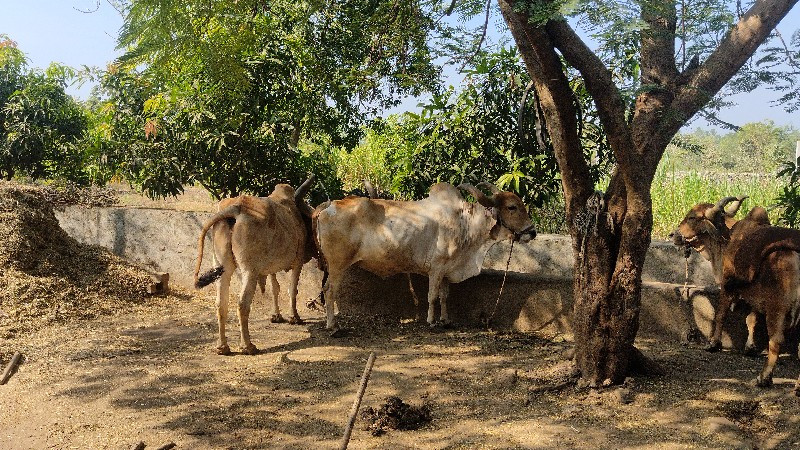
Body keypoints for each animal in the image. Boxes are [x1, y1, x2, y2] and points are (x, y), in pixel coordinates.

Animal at [194, 176, 316, 356]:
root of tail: (236, 208)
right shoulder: (298, 261)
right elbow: (292, 289)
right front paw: (294, 317)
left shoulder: (271, 267)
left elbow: (275, 288)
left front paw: (276, 316)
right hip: (249, 271)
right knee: (242, 304)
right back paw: (248, 346)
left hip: (222, 268)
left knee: (221, 304)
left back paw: (222, 347)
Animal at [316, 181, 536, 332]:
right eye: (512, 207)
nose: (532, 232)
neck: (464, 221)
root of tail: (327, 207)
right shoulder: (436, 268)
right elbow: (432, 296)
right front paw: (431, 321)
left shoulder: (447, 270)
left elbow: (444, 296)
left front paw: (446, 320)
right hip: (337, 265)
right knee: (329, 291)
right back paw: (333, 326)